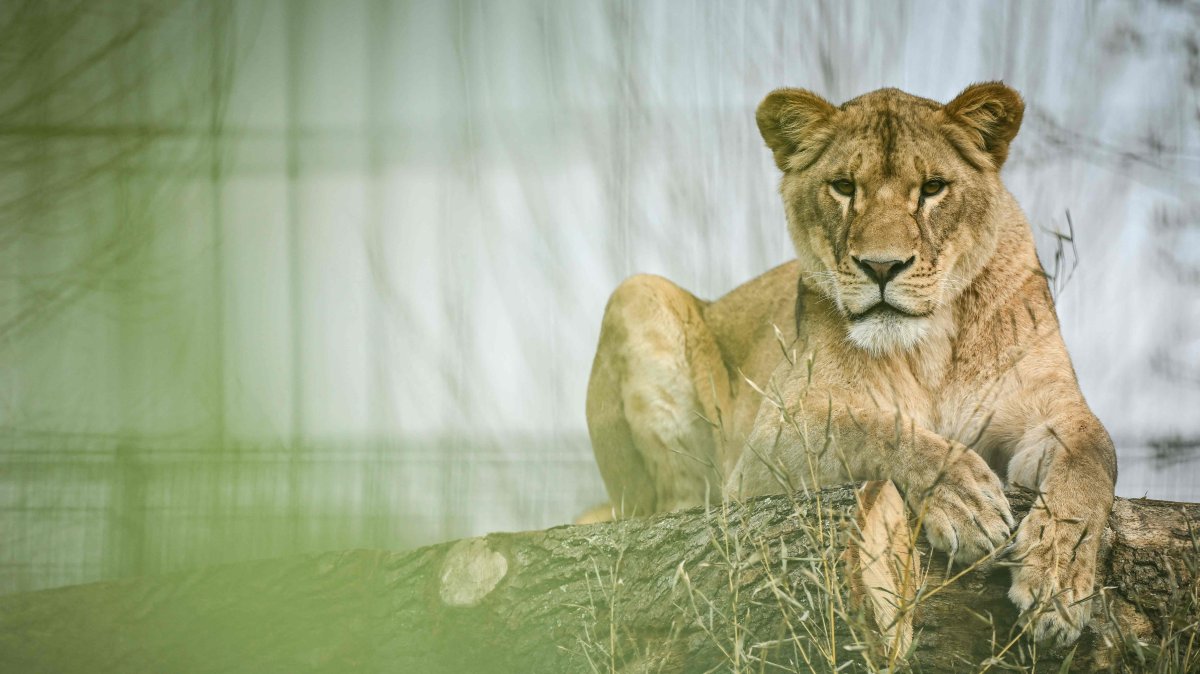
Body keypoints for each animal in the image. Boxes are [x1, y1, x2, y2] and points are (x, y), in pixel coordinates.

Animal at [583, 83, 1117, 648]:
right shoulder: (768, 444)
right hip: (637, 292)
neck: (929, 350)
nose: (882, 267)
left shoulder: (1046, 402)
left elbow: (1093, 456)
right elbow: (871, 428)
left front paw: (1059, 582)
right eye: (843, 187)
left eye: (932, 188)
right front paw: (963, 498)